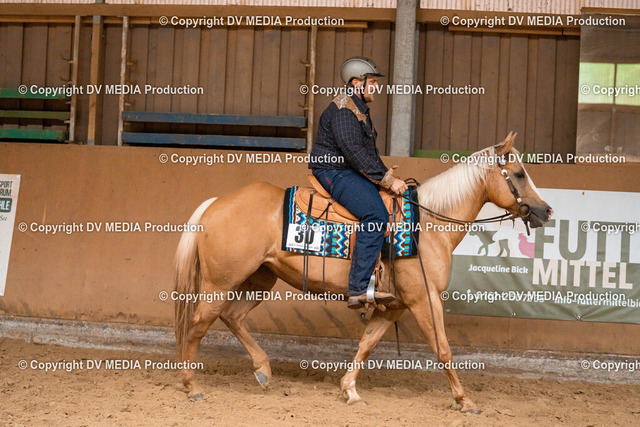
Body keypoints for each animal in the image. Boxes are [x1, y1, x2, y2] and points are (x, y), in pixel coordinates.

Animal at [173, 132, 553, 412]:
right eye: (519, 173)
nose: (545, 211)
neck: (427, 225)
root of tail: (216, 203)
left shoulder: (395, 305)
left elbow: (367, 343)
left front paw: (350, 390)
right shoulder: (424, 299)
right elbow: (442, 348)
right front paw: (465, 400)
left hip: (259, 279)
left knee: (232, 316)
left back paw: (263, 370)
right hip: (220, 283)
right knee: (198, 324)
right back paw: (192, 385)